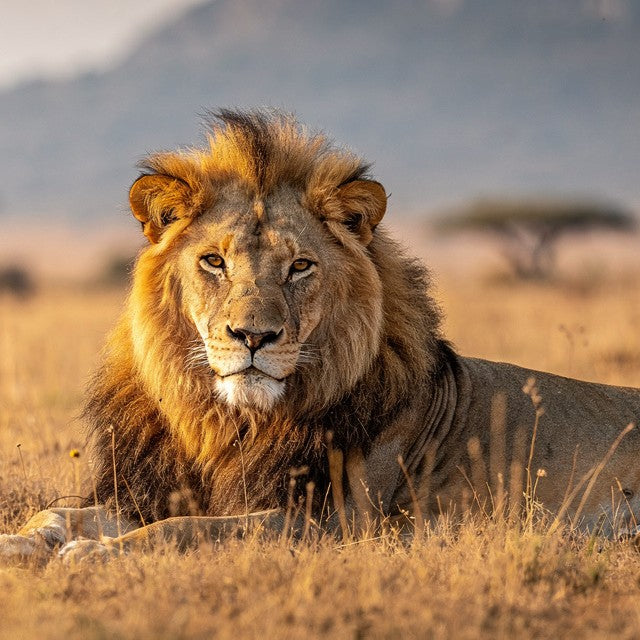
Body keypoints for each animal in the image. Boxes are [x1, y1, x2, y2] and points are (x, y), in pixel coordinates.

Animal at [2, 109, 640, 563]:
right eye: (214, 262)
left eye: (300, 267)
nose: (252, 336)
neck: (228, 425)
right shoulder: (148, 490)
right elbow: (60, 513)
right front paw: (22, 543)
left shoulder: (330, 523)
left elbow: (190, 529)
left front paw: (96, 553)